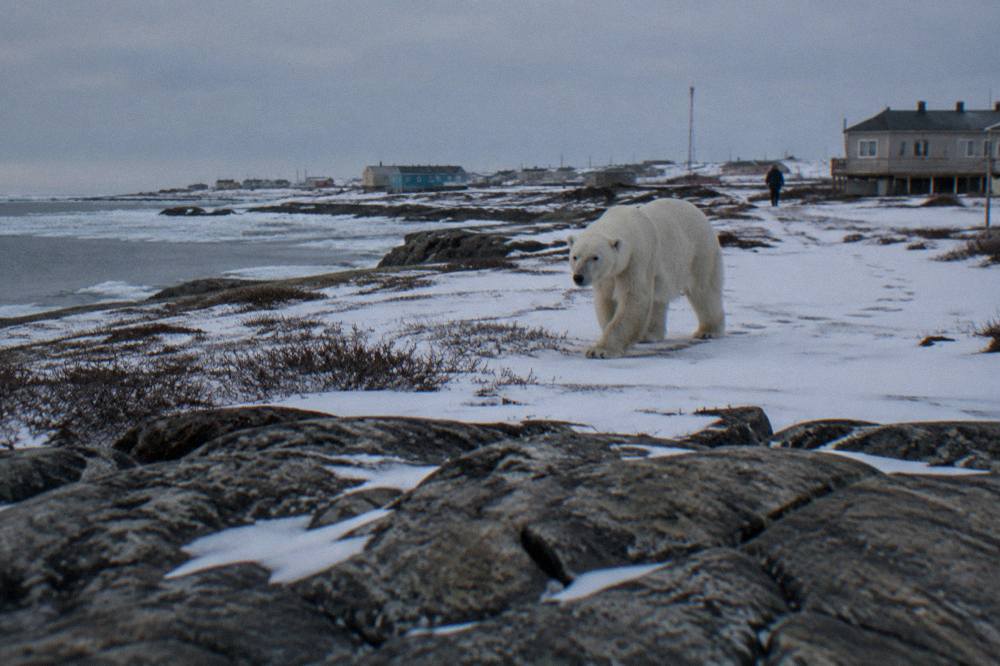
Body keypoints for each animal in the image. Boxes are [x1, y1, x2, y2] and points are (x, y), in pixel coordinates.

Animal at [567, 198, 725, 358]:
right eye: (575, 256)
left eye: (595, 257)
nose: (578, 277)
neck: (625, 223)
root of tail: (698, 211)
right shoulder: (608, 275)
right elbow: (606, 299)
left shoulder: (637, 259)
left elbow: (634, 298)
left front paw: (600, 350)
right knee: (658, 299)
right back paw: (650, 334)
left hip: (699, 251)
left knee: (703, 290)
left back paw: (707, 331)